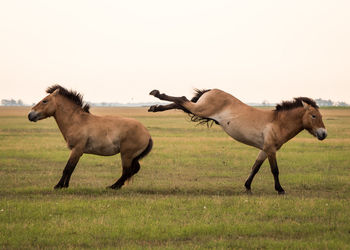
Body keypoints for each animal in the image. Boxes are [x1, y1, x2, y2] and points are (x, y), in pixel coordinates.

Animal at [149, 89, 326, 194]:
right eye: (314, 116)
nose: (324, 134)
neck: (277, 122)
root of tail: (211, 90)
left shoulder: (264, 150)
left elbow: (255, 167)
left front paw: (247, 187)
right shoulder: (271, 150)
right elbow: (274, 170)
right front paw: (280, 189)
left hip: (199, 110)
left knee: (180, 103)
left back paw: (155, 107)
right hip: (200, 109)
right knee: (182, 99)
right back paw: (156, 94)